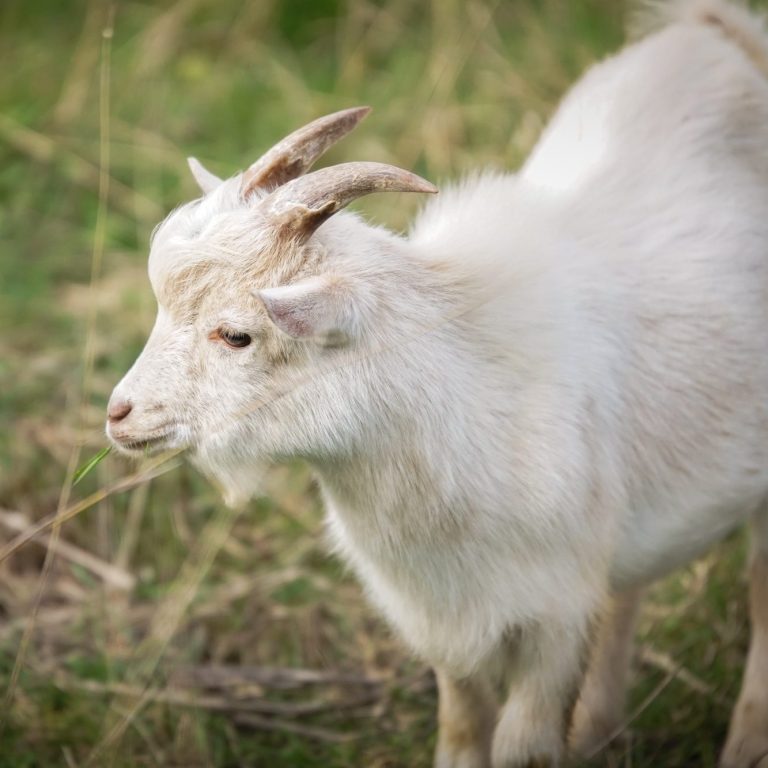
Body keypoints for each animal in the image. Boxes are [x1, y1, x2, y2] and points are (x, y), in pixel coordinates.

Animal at [107, 1, 768, 766]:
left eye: (236, 334)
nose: (119, 414)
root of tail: (718, 33)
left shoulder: (553, 618)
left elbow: (523, 745)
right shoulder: (446, 621)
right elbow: (459, 732)